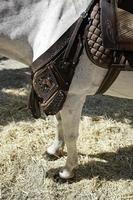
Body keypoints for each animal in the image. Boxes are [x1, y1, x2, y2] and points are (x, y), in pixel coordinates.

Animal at [0, 0, 133, 180]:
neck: (43, 20)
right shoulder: (58, 92)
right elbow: (58, 122)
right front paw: (54, 150)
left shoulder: (73, 96)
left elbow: (71, 135)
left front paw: (67, 171)